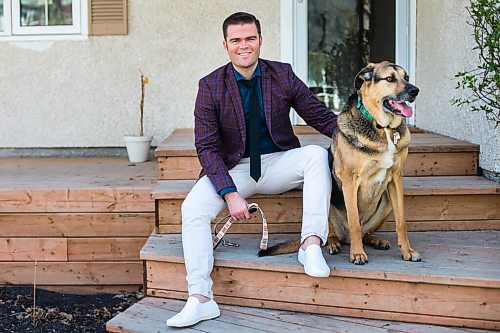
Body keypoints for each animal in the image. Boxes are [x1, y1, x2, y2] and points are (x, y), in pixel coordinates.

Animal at [258, 61, 422, 264]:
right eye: (390, 78)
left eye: (406, 77)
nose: (415, 91)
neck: (382, 128)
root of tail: (345, 239)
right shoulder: (350, 180)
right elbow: (354, 223)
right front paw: (357, 254)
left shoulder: (396, 178)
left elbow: (401, 222)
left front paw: (408, 251)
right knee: (332, 234)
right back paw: (334, 244)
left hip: (386, 203)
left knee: (366, 232)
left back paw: (375, 240)